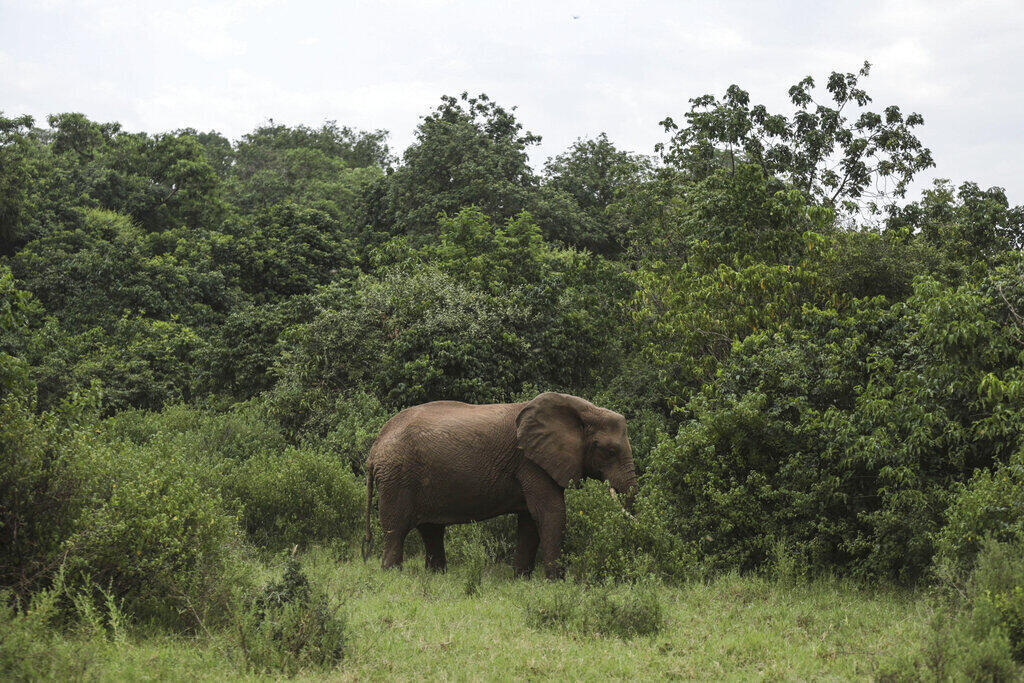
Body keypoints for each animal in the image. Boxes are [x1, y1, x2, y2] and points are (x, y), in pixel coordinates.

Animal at [362, 392, 637, 579]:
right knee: (396, 529)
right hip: (397, 477)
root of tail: (375, 448)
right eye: (610, 451)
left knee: (431, 530)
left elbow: (530, 520)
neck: (582, 409)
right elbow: (551, 513)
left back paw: (436, 575)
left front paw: (522, 580)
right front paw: (557, 583)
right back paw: (392, 575)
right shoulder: (530, 462)